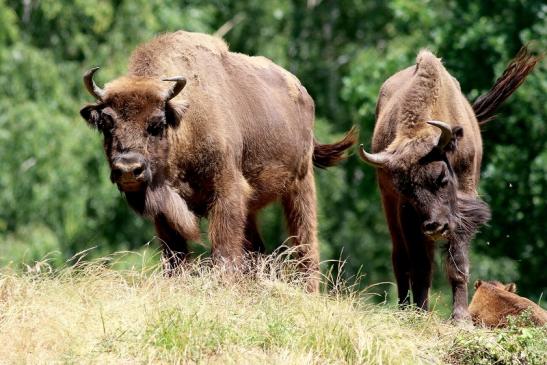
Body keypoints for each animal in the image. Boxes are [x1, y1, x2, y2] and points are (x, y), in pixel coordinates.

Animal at [79, 30, 358, 290]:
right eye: (106, 124)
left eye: (157, 124)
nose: (128, 169)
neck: (184, 123)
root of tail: (303, 93)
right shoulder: (164, 208)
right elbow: (175, 256)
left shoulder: (227, 192)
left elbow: (224, 248)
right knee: (258, 248)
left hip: (300, 184)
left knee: (305, 242)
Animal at [360, 47, 540, 318]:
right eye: (406, 189)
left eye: (442, 178)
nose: (435, 226)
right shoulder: (408, 213)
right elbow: (420, 266)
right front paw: (420, 313)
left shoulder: (461, 210)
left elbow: (457, 263)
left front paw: (460, 317)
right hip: (390, 208)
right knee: (400, 260)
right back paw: (404, 307)